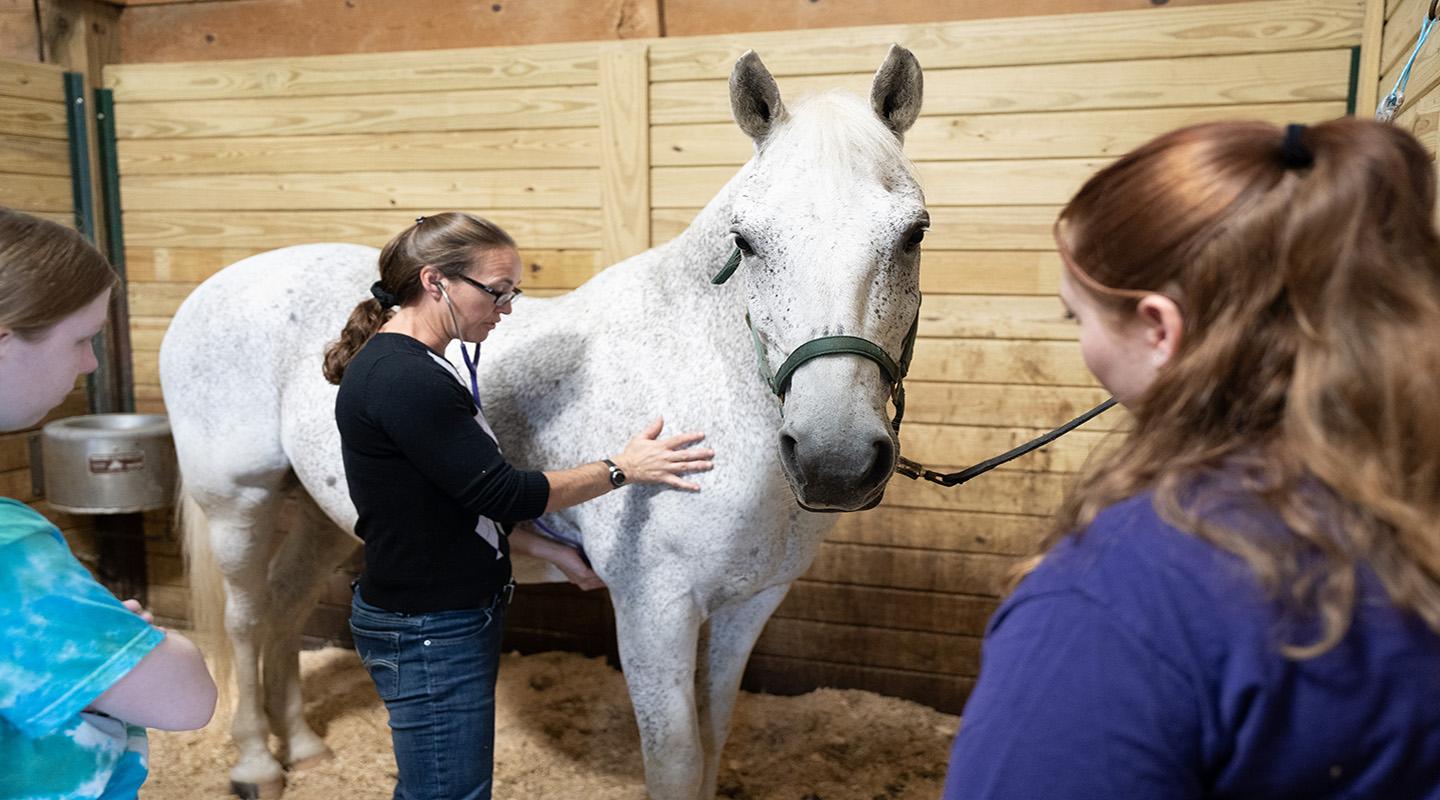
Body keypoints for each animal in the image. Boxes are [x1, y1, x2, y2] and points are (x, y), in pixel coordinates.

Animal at [157, 46, 921, 794]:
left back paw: (305, 748)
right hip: (238, 503)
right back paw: (256, 763)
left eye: (913, 234)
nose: (834, 459)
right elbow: (675, 760)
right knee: (249, 616)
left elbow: (712, 743)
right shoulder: (654, 612)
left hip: (322, 512)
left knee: (287, 602)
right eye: (749, 240)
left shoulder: (747, 606)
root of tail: (215, 287)